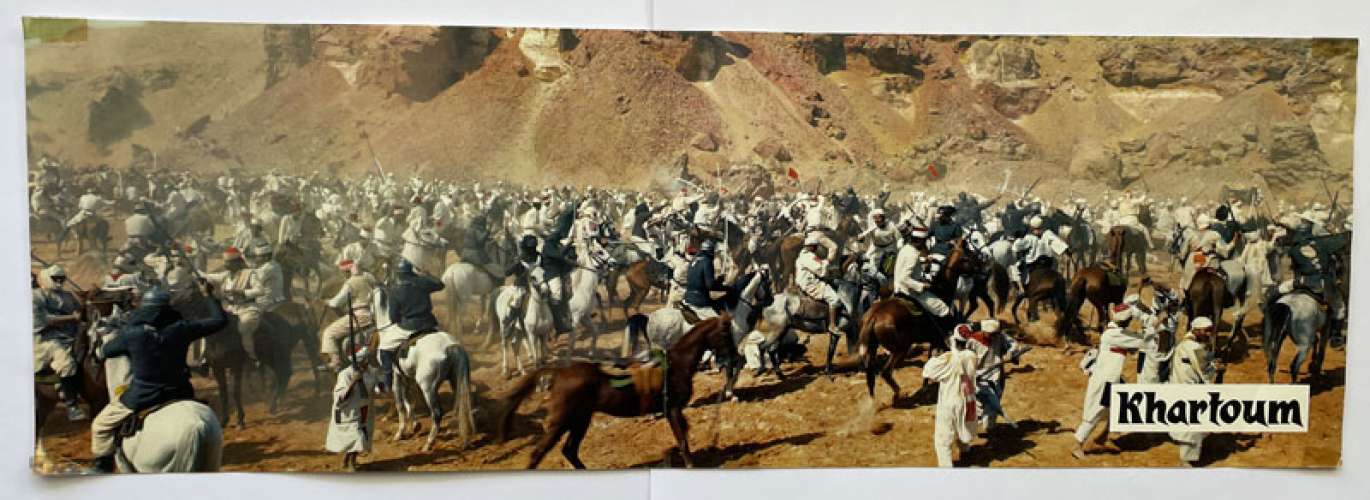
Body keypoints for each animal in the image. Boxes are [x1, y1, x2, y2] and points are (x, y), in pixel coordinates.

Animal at [370, 287, 476, 451]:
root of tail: (452, 346)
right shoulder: (408, 378)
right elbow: (409, 401)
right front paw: (415, 425)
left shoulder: (396, 377)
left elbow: (400, 404)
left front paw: (400, 433)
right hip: (454, 381)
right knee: (460, 405)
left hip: (428, 388)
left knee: (437, 413)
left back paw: (429, 443)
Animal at [495, 314, 737, 469]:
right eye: (726, 334)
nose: (735, 357)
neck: (677, 364)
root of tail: (559, 373)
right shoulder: (673, 409)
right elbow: (682, 441)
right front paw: (690, 464)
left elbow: (683, 438)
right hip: (563, 421)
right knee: (540, 453)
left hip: (580, 420)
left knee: (569, 451)